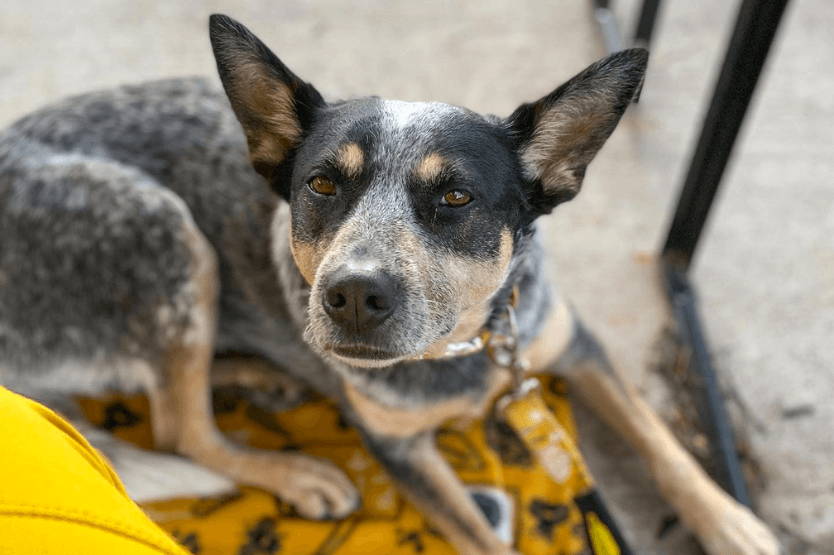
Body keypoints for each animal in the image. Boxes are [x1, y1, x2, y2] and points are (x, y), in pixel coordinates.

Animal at [0, 11, 776, 555]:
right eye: (321, 184)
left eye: (456, 197)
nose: (351, 296)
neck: (469, 351)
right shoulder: (401, 451)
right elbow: (484, 535)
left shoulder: (570, 342)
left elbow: (662, 442)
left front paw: (734, 523)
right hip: (161, 227)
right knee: (181, 429)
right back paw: (296, 472)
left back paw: (262, 373)